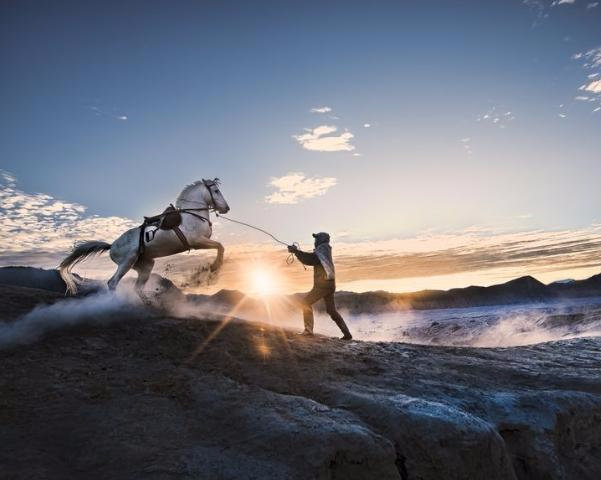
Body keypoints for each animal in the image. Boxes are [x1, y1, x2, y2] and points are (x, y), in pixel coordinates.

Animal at [59, 178, 230, 294]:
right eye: (216, 191)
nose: (226, 208)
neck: (192, 215)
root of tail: (112, 245)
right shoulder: (197, 242)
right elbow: (220, 246)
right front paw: (215, 266)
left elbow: (220, 246)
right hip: (127, 262)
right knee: (112, 283)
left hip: (144, 265)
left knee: (137, 288)